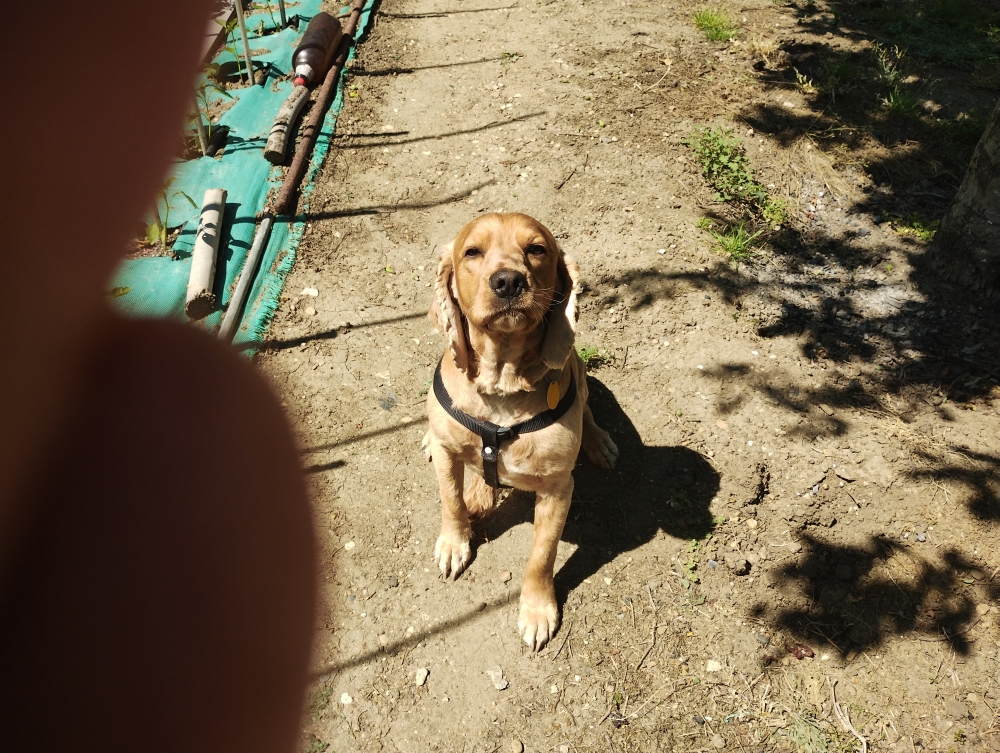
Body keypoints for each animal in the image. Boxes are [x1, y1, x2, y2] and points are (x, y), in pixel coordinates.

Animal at [423, 212, 618, 650]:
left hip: (580, 367)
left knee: (587, 405)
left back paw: (598, 441)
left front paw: (537, 610)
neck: (501, 388)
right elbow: (450, 501)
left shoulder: (558, 488)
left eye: (537, 249)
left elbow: (542, 556)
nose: (509, 281)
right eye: (472, 252)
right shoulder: (447, 453)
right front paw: (454, 542)